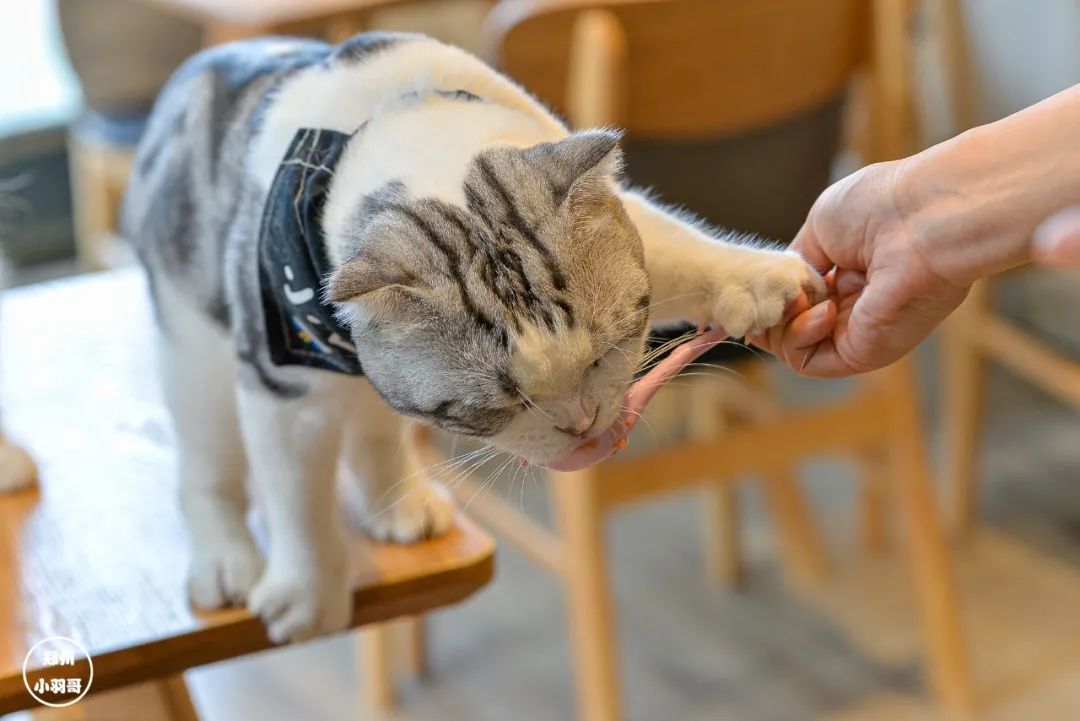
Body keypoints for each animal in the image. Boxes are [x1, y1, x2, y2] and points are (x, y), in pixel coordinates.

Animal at [122, 33, 820, 643]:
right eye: (502, 403)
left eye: (607, 352)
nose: (582, 423)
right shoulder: (284, 380)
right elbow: (298, 496)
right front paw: (309, 593)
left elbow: (674, 245)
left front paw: (755, 277)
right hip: (195, 355)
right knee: (209, 465)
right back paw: (226, 560)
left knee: (373, 430)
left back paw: (399, 506)